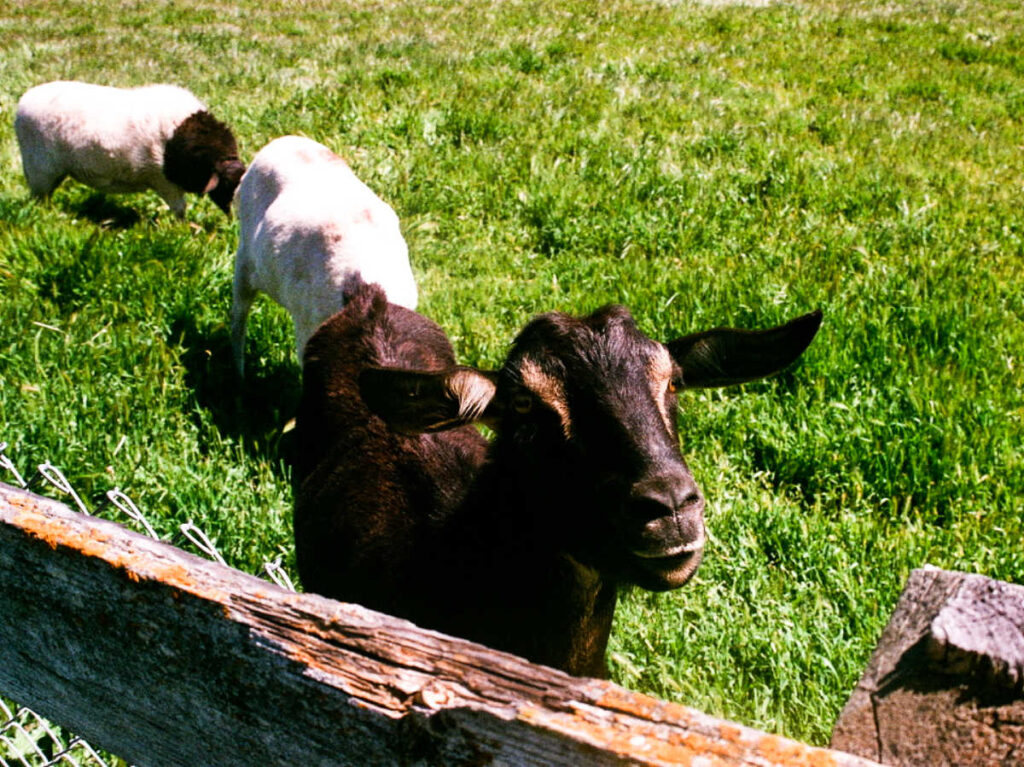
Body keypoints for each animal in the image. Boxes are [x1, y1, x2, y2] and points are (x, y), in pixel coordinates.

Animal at [14, 81, 244, 218]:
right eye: (227, 184)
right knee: (40, 198)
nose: (233, 220)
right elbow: (179, 210)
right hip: (39, 169)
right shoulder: (164, 181)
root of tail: (25, 100)